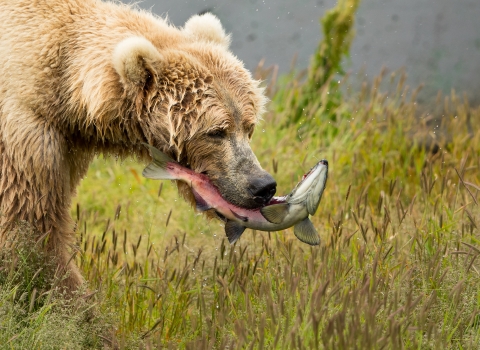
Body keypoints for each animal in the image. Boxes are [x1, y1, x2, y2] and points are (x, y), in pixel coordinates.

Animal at [0, 0, 276, 290]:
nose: (262, 185)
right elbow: (29, 221)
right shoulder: (26, 128)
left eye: (249, 126)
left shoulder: (68, 143)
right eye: (216, 132)